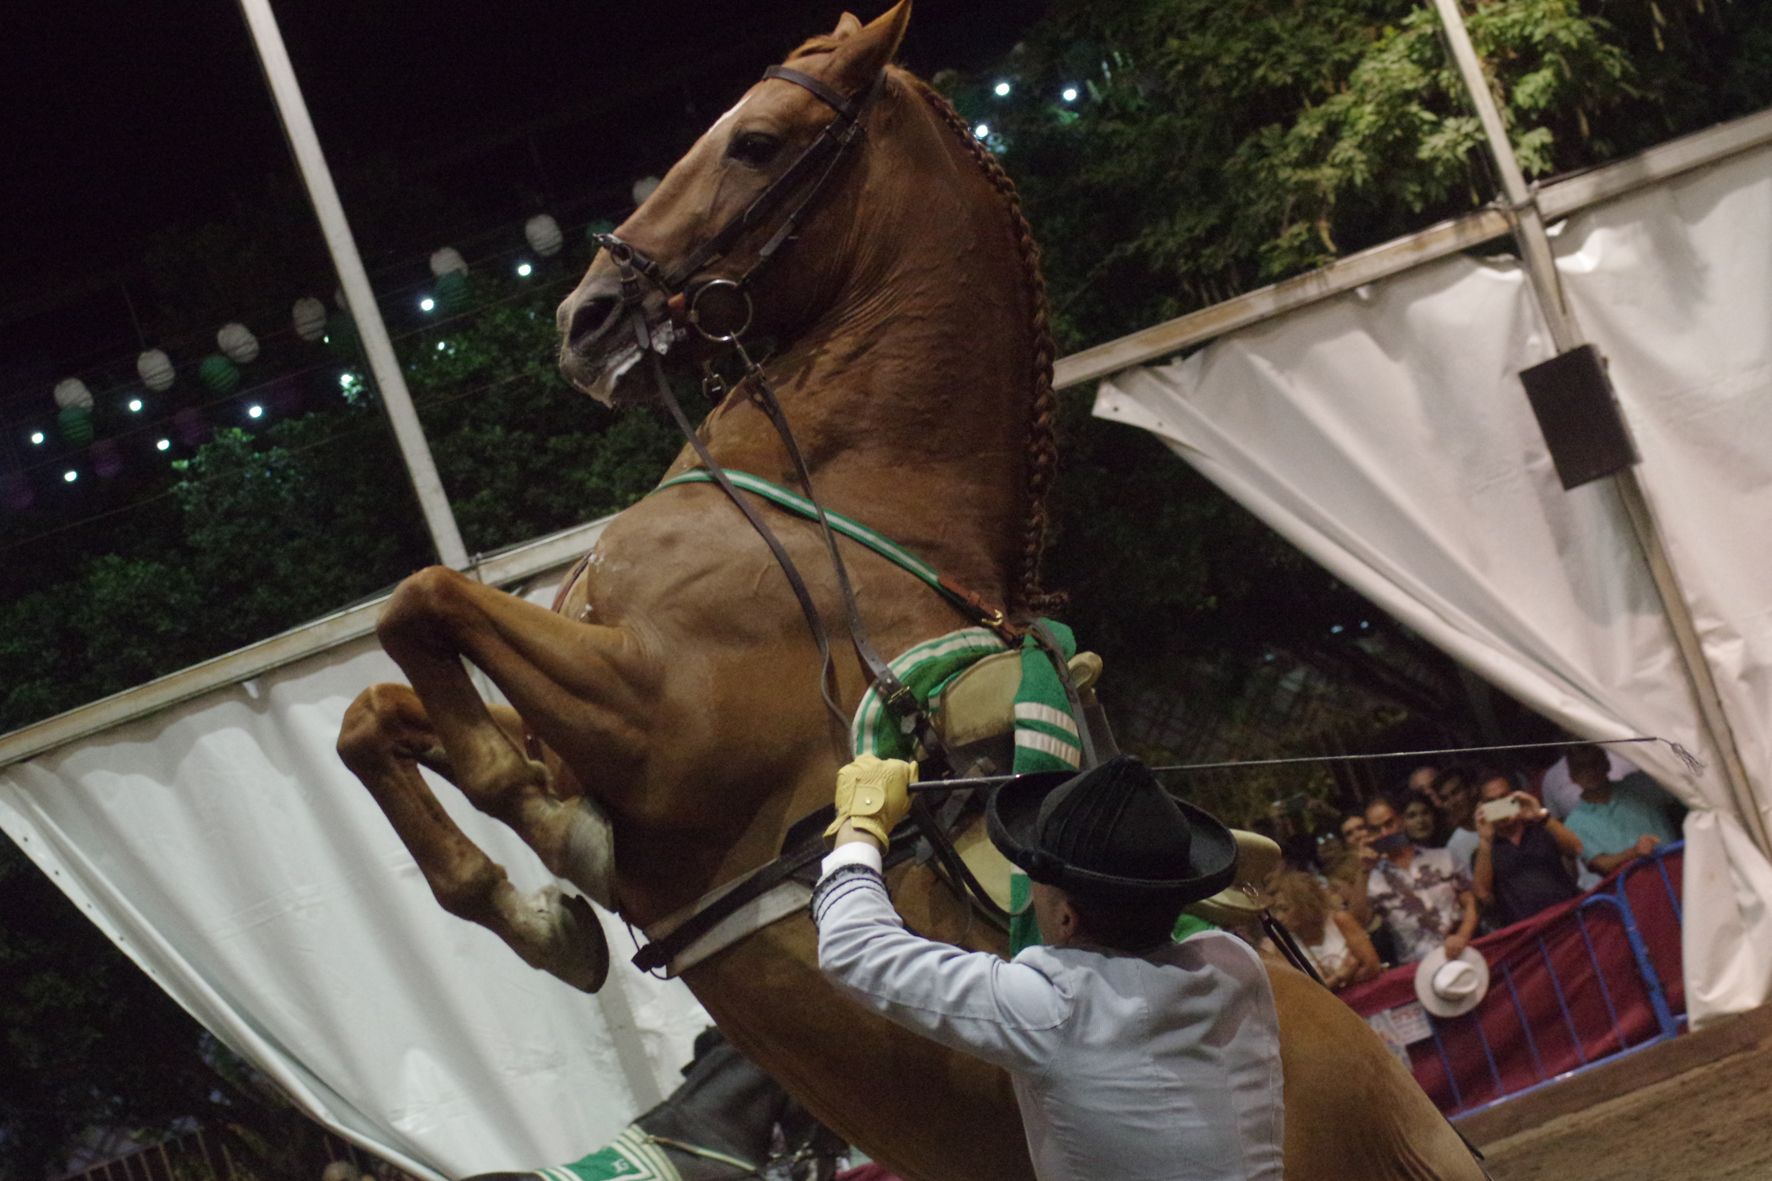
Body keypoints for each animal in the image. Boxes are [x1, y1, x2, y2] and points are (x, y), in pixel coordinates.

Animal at [333, 4, 1481, 1170]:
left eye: (755, 141)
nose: (587, 317)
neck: (830, 498)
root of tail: (1407, 1106)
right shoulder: (572, 711)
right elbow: (375, 709)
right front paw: (536, 909)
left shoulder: (656, 728)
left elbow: (427, 606)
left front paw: (552, 880)